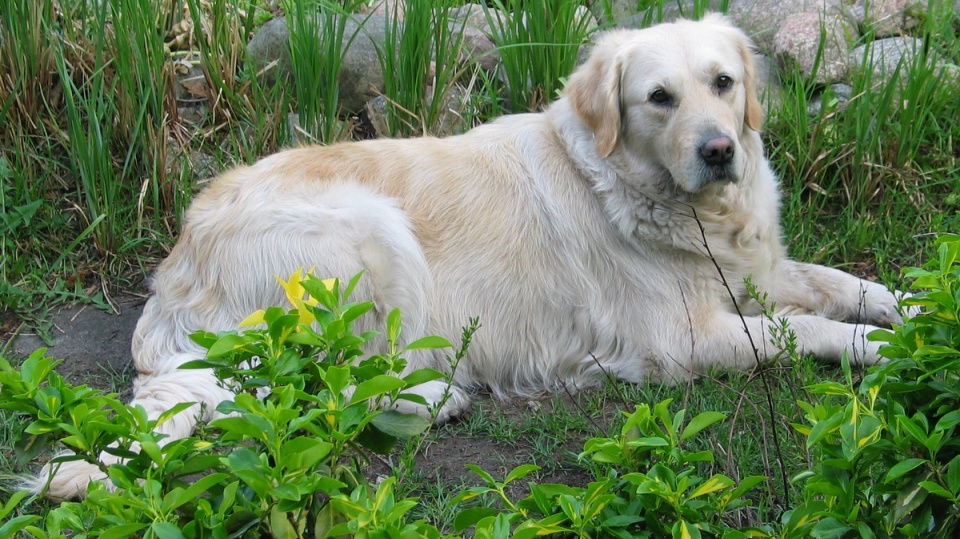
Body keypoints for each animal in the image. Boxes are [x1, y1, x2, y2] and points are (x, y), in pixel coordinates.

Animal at [35, 13, 908, 502]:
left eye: (724, 83)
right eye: (659, 99)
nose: (721, 150)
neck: (673, 203)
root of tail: (177, 269)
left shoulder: (759, 271)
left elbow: (832, 281)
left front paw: (908, 305)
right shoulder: (679, 340)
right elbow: (803, 328)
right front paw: (874, 345)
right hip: (372, 232)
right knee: (321, 391)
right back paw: (439, 396)